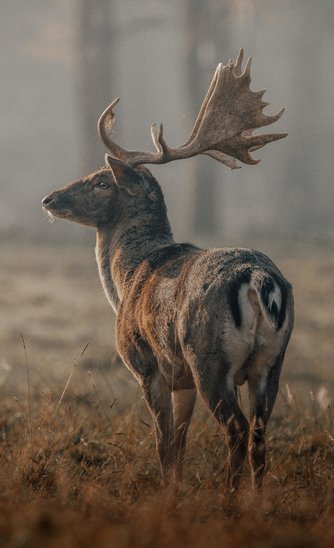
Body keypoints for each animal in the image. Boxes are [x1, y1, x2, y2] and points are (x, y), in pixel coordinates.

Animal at [42, 50, 294, 488]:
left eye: (101, 182)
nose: (50, 198)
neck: (127, 279)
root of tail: (260, 280)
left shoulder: (148, 365)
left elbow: (163, 443)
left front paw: (166, 493)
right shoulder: (182, 381)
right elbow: (179, 443)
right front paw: (175, 488)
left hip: (209, 357)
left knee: (237, 429)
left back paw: (228, 497)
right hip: (271, 362)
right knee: (260, 436)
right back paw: (255, 498)